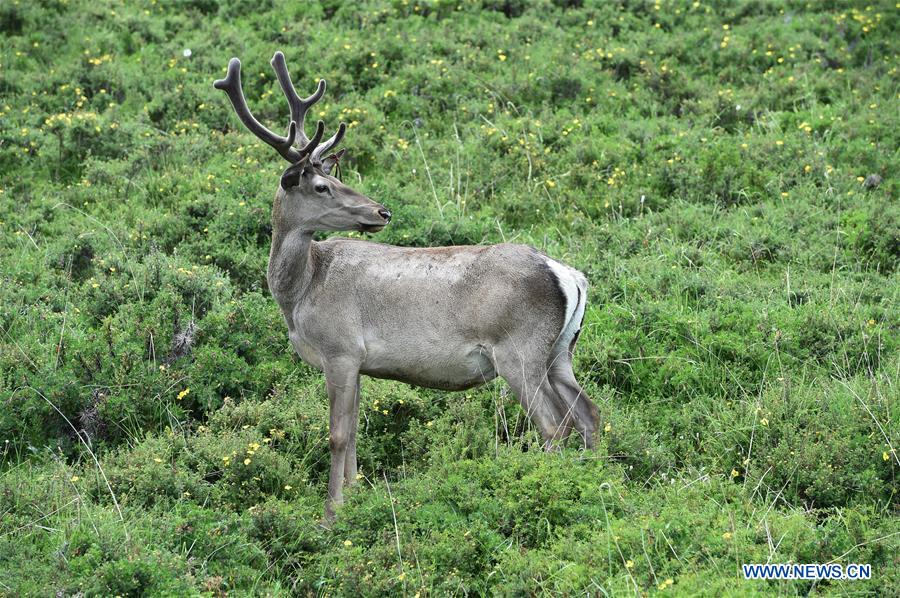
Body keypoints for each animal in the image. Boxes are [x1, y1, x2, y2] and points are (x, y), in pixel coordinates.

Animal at [214, 50, 600, 520]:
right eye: (324, 184)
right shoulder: (358, 362)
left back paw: (547, 485)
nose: (381, 211)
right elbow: (355, 431)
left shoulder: (340, 349)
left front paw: (331, 514)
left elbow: (337, 435)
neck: (301, 292)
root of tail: (568, 275)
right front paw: (356, 497)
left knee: (555, 423)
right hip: (561, 349)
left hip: (518, 349)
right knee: (589, 412)